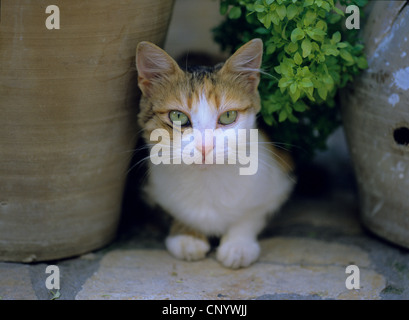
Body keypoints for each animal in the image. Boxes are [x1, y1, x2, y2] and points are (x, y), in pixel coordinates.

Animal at [135, 38, 294, 268]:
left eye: (228, 116)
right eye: (177, 116)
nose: (205, 146)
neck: (206, 180)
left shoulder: (277, 180)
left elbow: (252, 214)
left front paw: (238, 245)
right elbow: (171, 211)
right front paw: (187, 236)